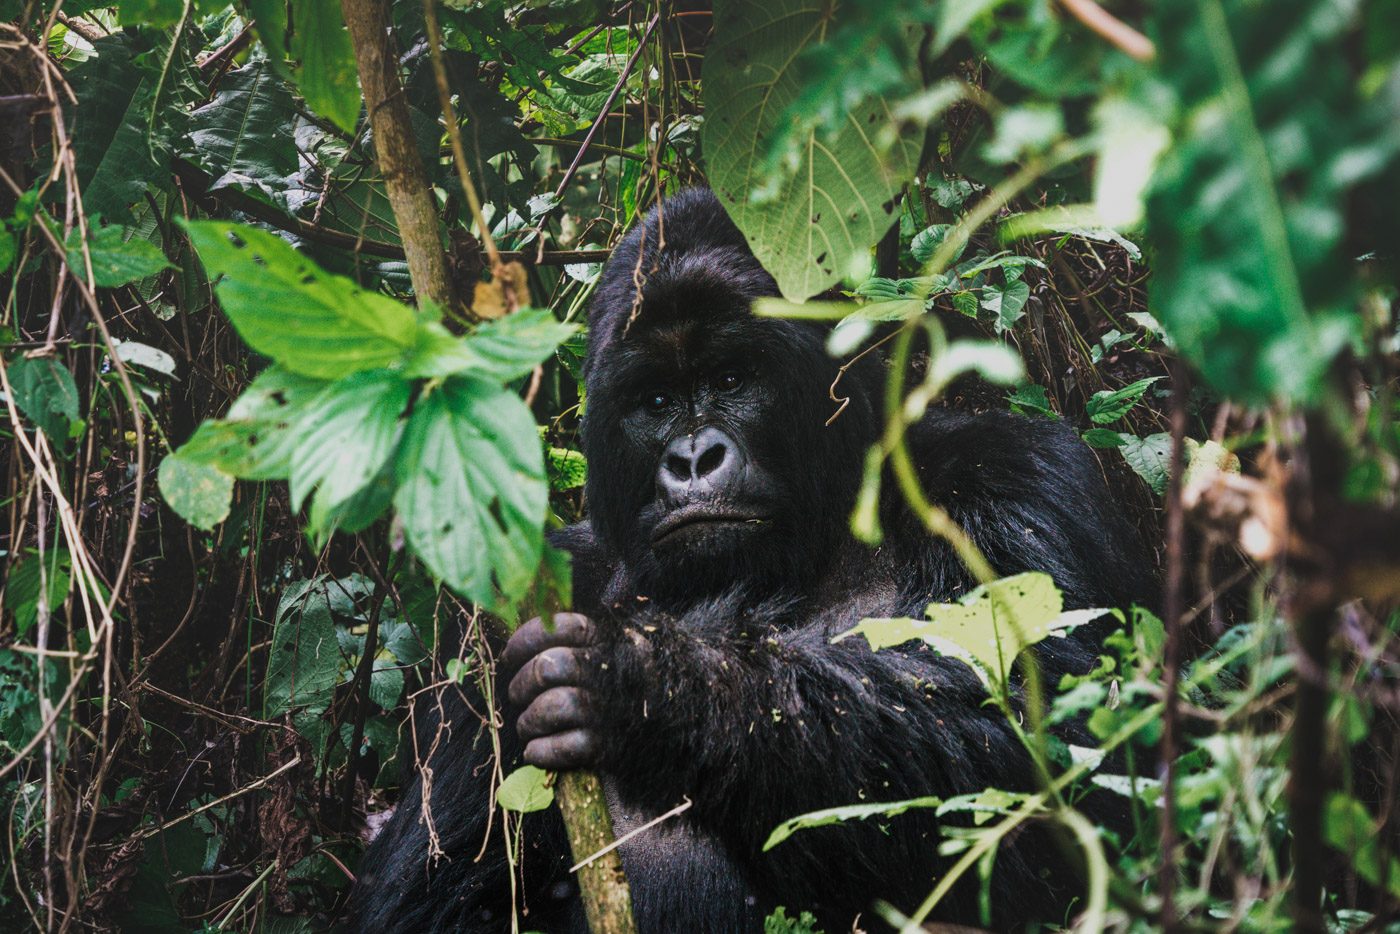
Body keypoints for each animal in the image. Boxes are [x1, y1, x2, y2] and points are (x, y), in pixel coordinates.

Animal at [352, 186, 1159, 929]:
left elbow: (1055, 749)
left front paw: (654, 690)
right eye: (655, 401)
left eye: (733, 380)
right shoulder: (518, 598)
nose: (692, 459)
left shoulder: (1018, 478)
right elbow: (429, 897)